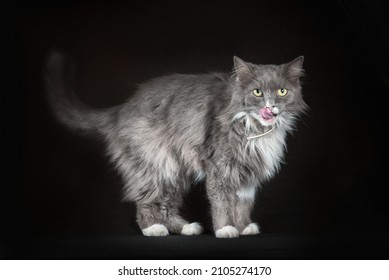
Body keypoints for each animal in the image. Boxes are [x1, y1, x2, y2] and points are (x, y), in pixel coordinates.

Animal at [44, 51, 306, 237]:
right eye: (257, 92)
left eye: (282, 92)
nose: (270, 106)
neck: (257, 128)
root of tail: (121, 109)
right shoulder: (219, 167)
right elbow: (221, 202)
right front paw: (225, 229)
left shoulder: (247, 173)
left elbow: (243, 204)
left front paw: (243, 227)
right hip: (155, 164)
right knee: (145, 202)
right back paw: (153, 228)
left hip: (176, 170)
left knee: (167, 205)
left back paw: (186, 228)